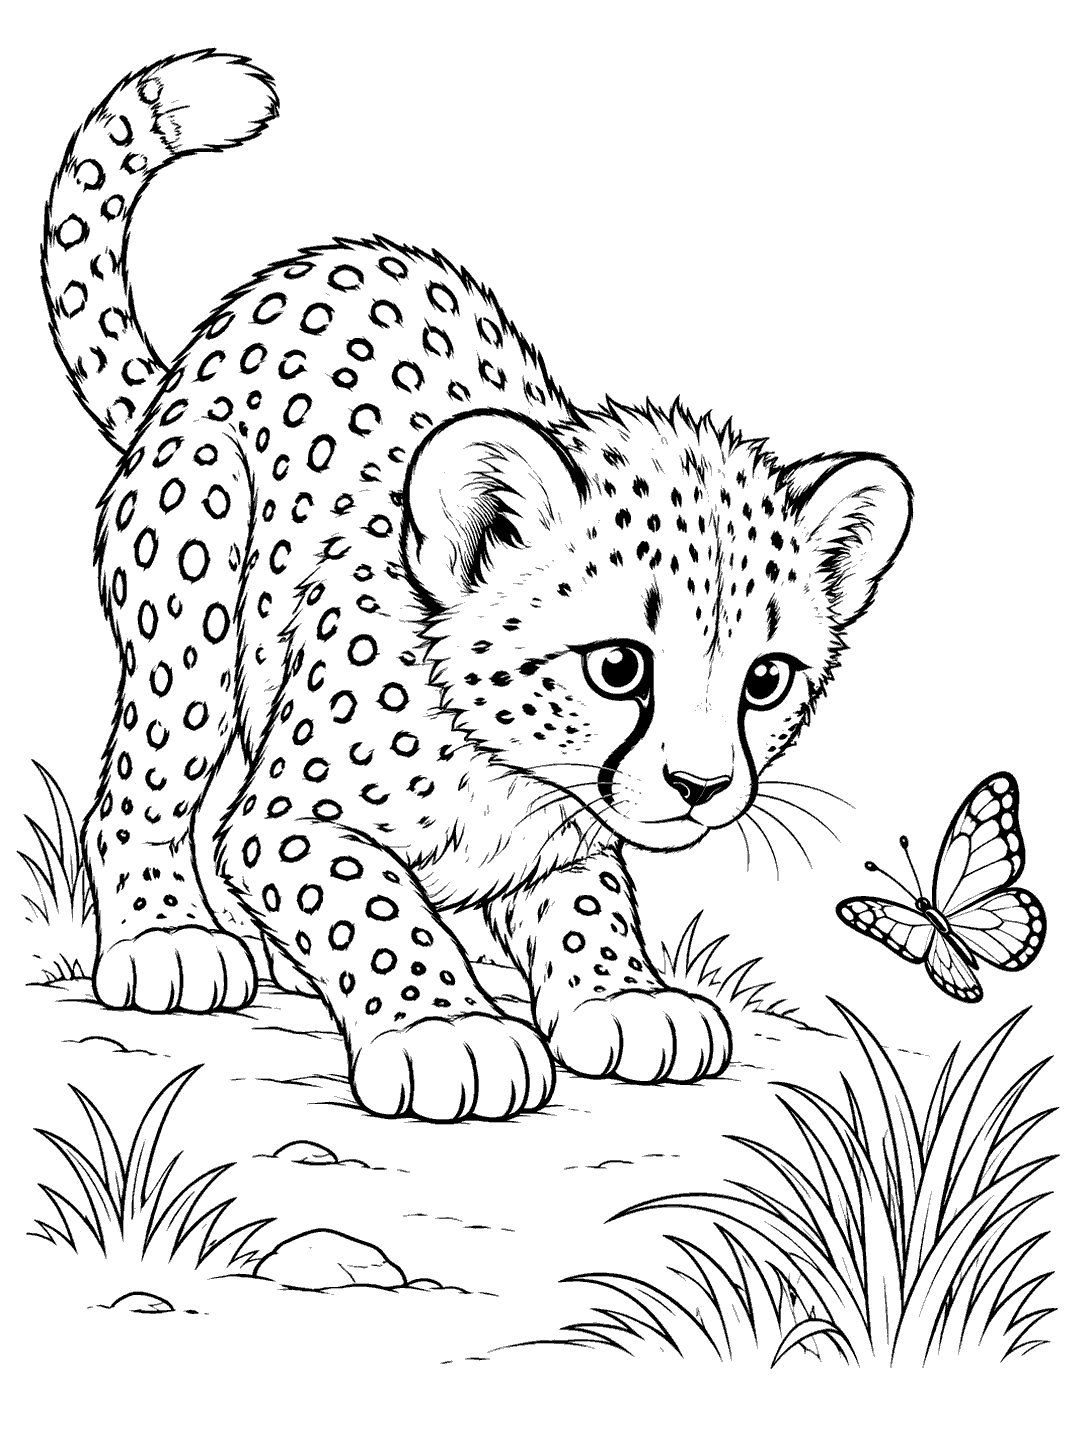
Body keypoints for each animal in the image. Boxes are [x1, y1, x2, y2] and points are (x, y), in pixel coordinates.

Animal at [42, 50, 912, 1122]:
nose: (703, 788)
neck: (505, 764)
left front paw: (627, 1000)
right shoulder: (290, 822)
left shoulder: (567, 840)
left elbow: (589, 906)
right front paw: (449, 1029)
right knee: (147, 777)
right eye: (619, 668)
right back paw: (171, 936)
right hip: (195, 560)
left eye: (766, 680)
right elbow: (371, 906)